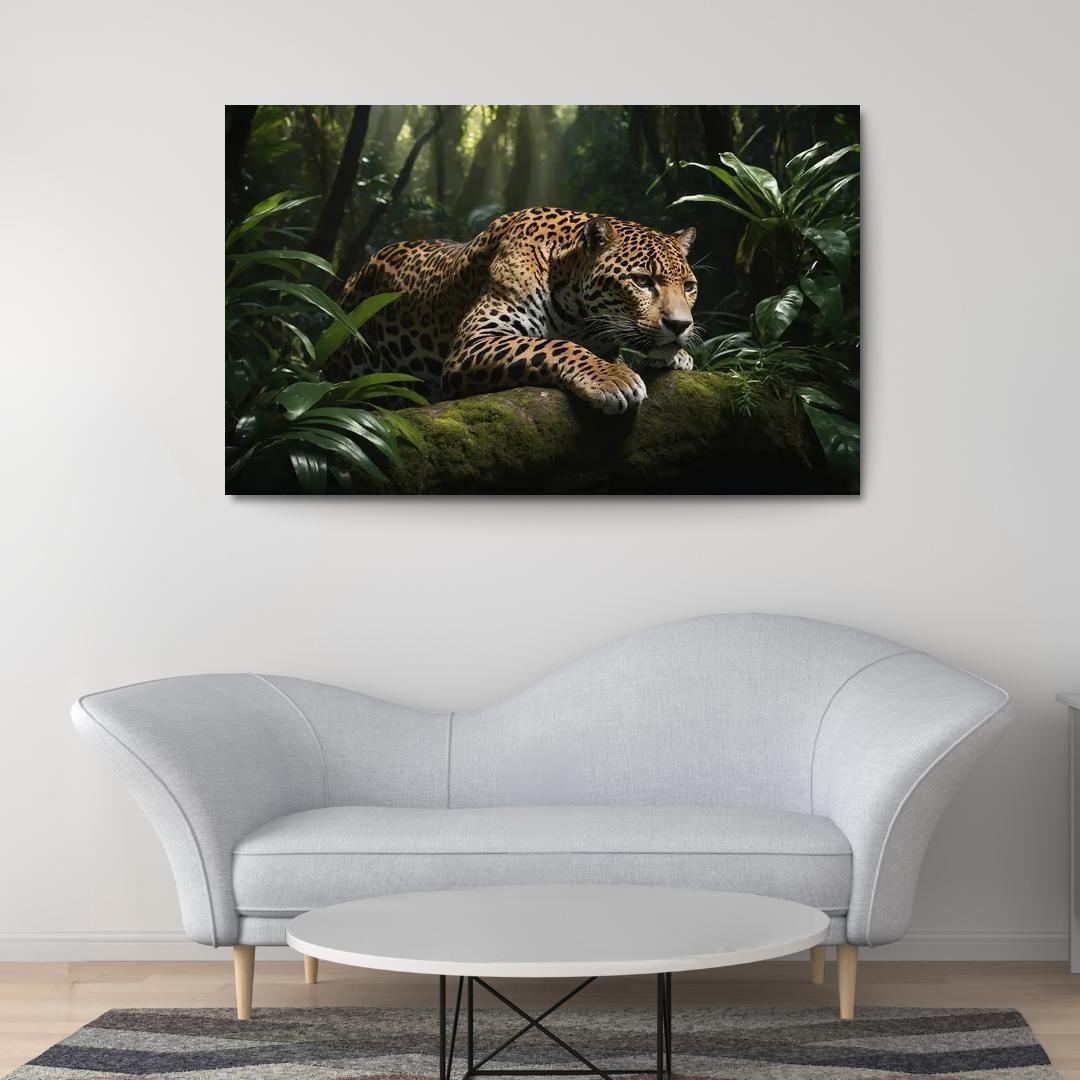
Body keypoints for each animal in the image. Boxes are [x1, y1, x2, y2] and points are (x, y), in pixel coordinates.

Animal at [329, 207, 698, 415]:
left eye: (689, 287)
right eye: (641, 281)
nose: (680, 325)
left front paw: (676, 357)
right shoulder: (475, 341)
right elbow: (555, 345)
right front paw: (612, 378)